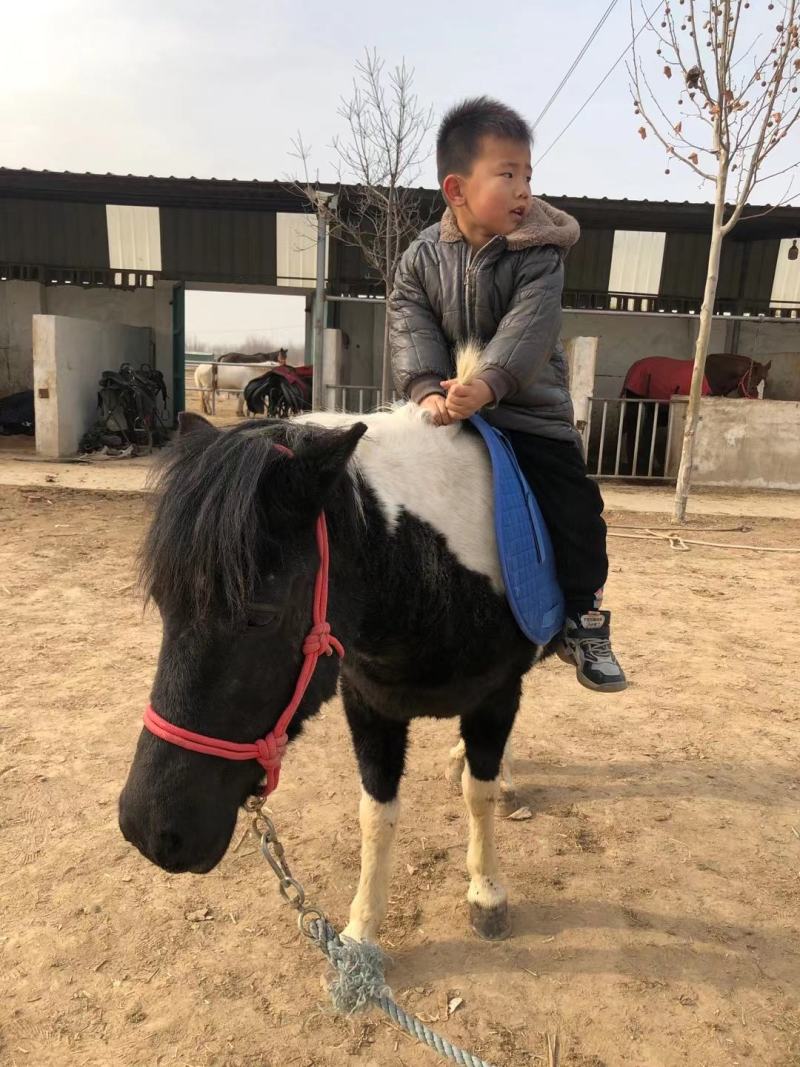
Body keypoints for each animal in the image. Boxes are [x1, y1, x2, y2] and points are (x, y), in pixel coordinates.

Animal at [119, 403, 546, 943]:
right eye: (161, 600)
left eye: (259, 613)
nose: (149, 830)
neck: (435, 583)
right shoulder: (369, 704)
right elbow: (376, 813)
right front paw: (361, 930)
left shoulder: (496, 696)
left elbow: (479, 793)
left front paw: (487, 893)